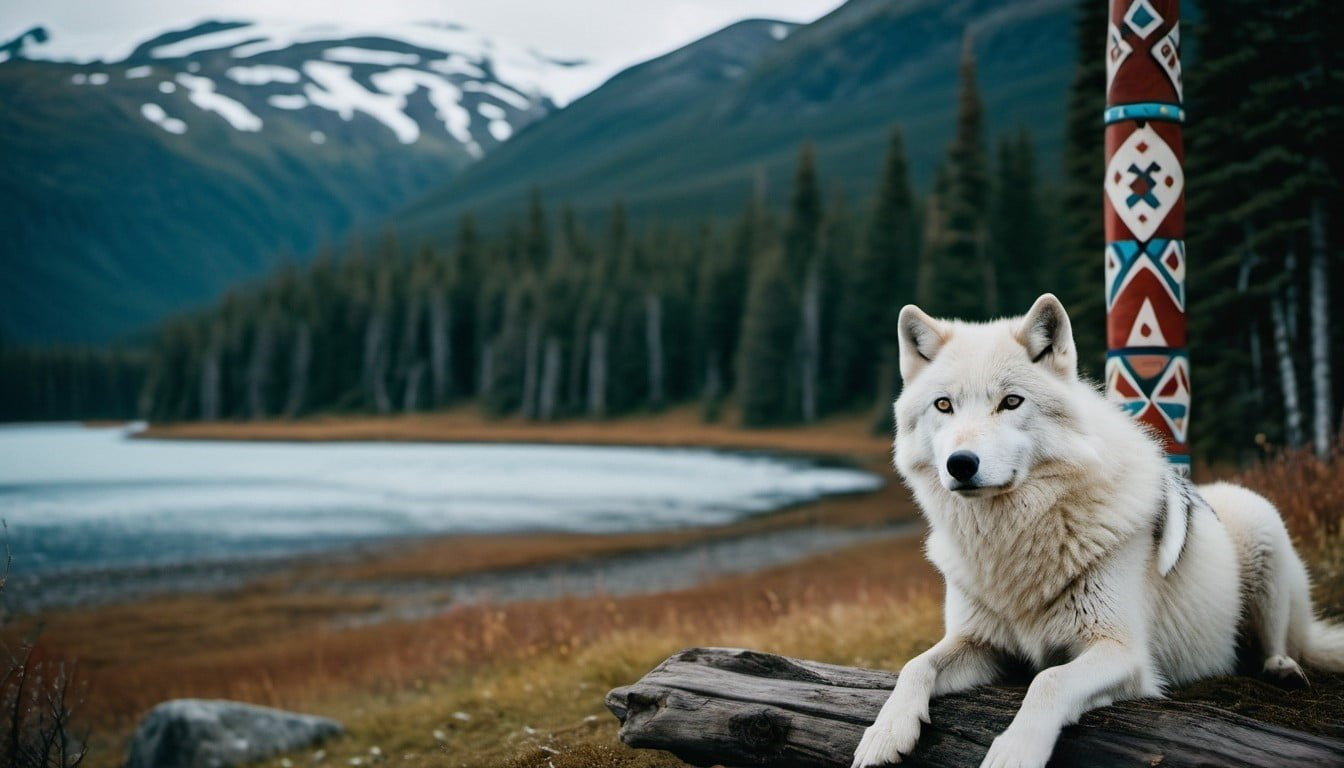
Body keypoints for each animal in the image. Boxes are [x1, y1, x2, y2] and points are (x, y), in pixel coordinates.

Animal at [849, 294, 1344, 768]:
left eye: (1011, 402)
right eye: (944, 405)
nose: (961, 464)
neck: (1013, 539)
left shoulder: (1123, 653)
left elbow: (1047, 680)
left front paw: (1015, 751)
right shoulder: (978, 642)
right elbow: (915, 666)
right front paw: (885, 734)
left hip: (1263, 526)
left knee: (1280, 643)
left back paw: (1281, 669)